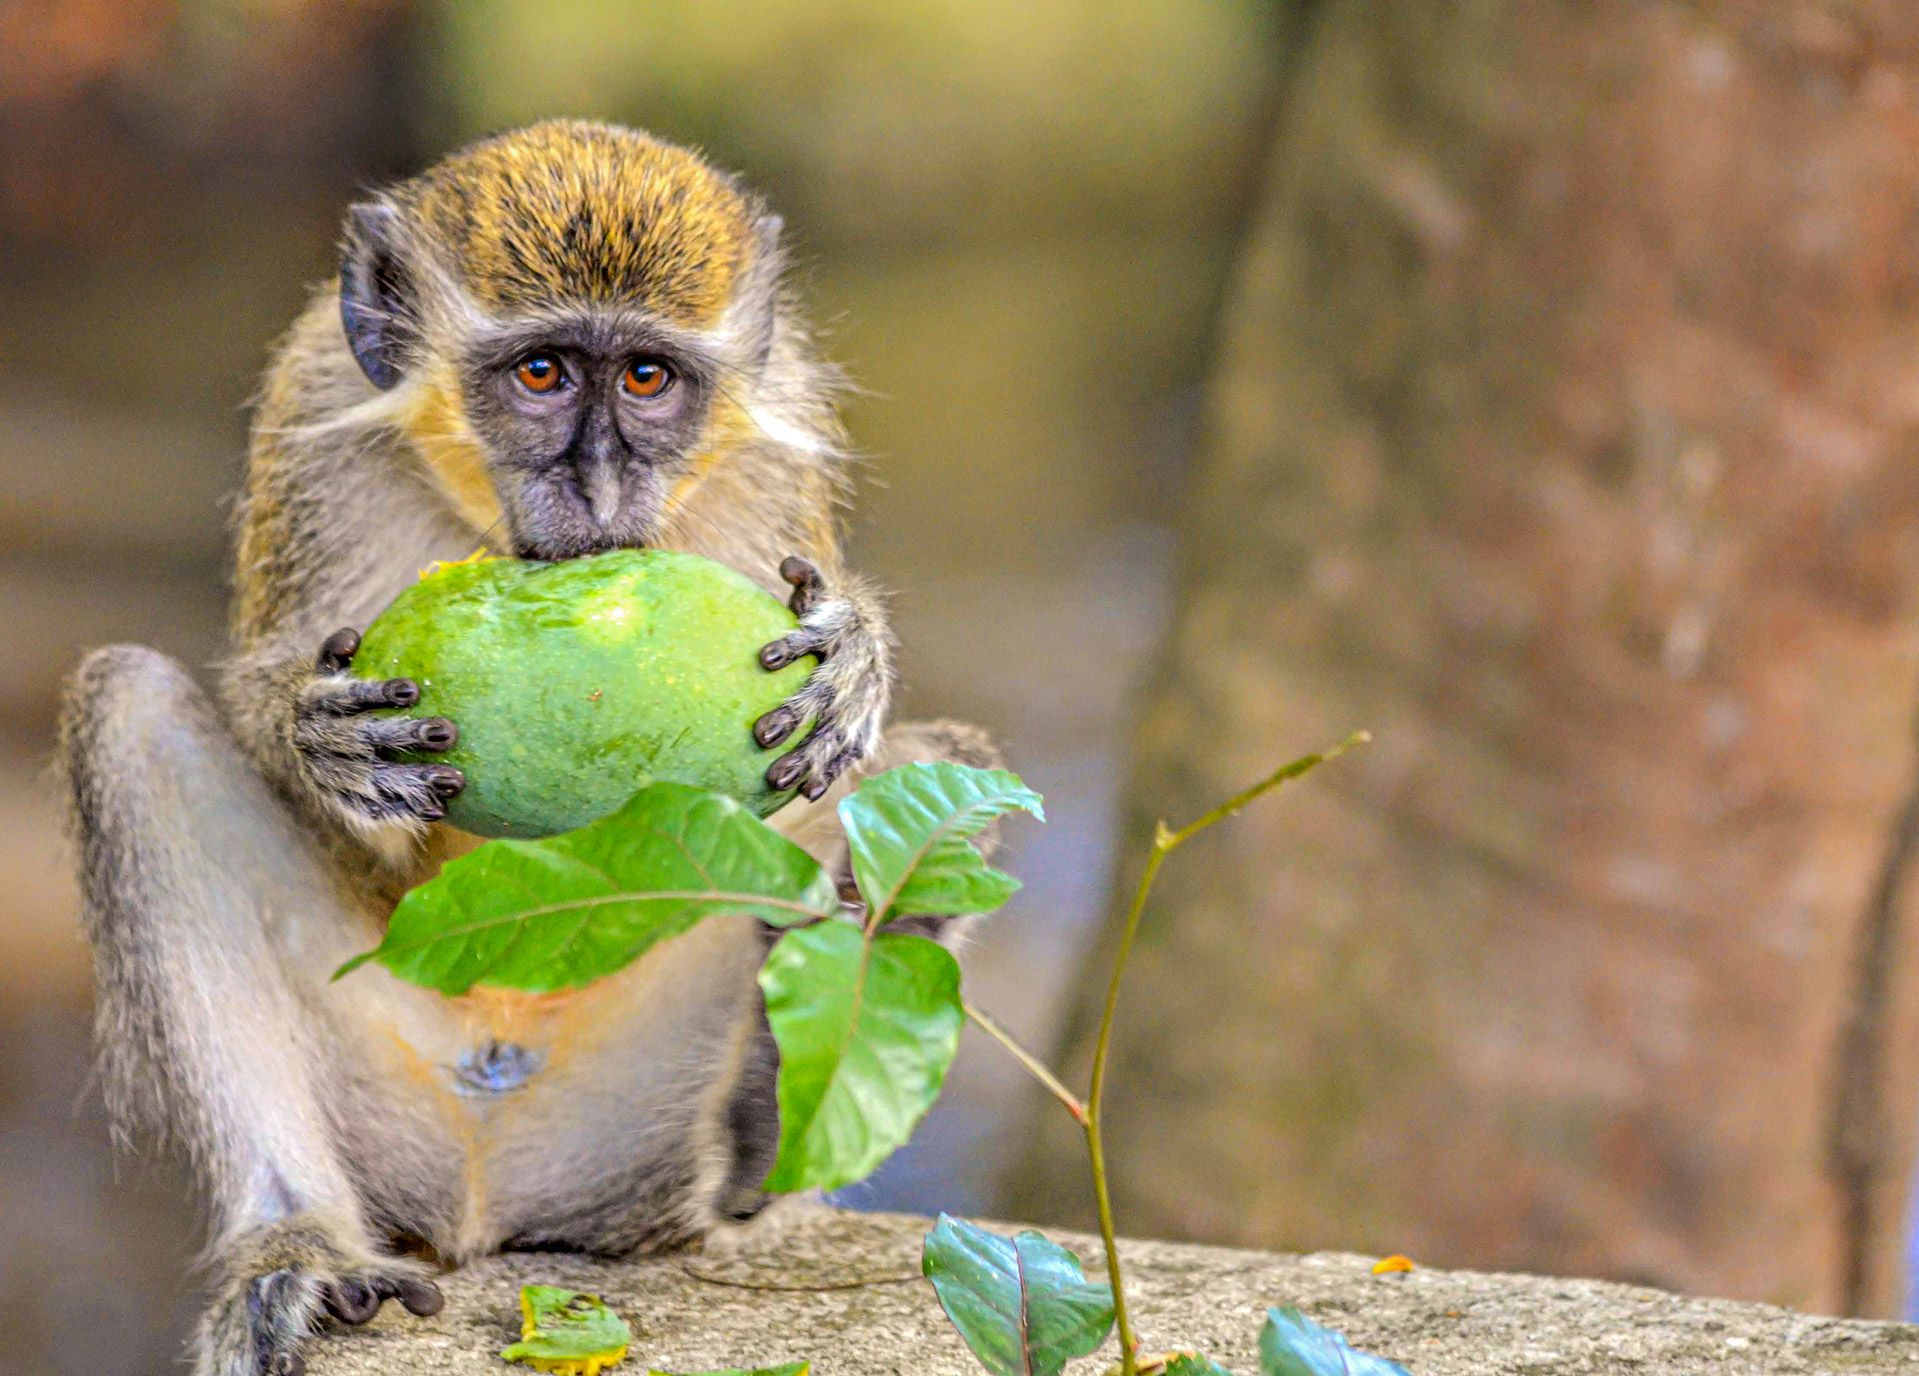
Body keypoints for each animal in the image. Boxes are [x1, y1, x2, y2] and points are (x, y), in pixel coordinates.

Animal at [59, 120, 1005, 1374]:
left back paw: (753, 1137)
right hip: (391, 1095)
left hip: (624, 1127)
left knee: (933, 776)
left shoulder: (776, 431)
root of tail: (492, 1198)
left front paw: (853, 644)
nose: (596, 483)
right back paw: (293, 1243)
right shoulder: (312, 397)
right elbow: (258, 680)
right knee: (126, 709)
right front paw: (320, 741)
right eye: (542, 374)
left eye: (647, 378)